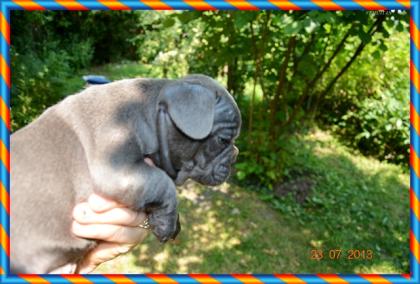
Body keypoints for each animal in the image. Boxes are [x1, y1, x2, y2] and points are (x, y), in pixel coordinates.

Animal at [11, 74, 241, 274]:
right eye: (222, 140)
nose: (236, 155)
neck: (149, 113)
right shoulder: (114, 166)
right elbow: (163, 182)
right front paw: (167, 225)